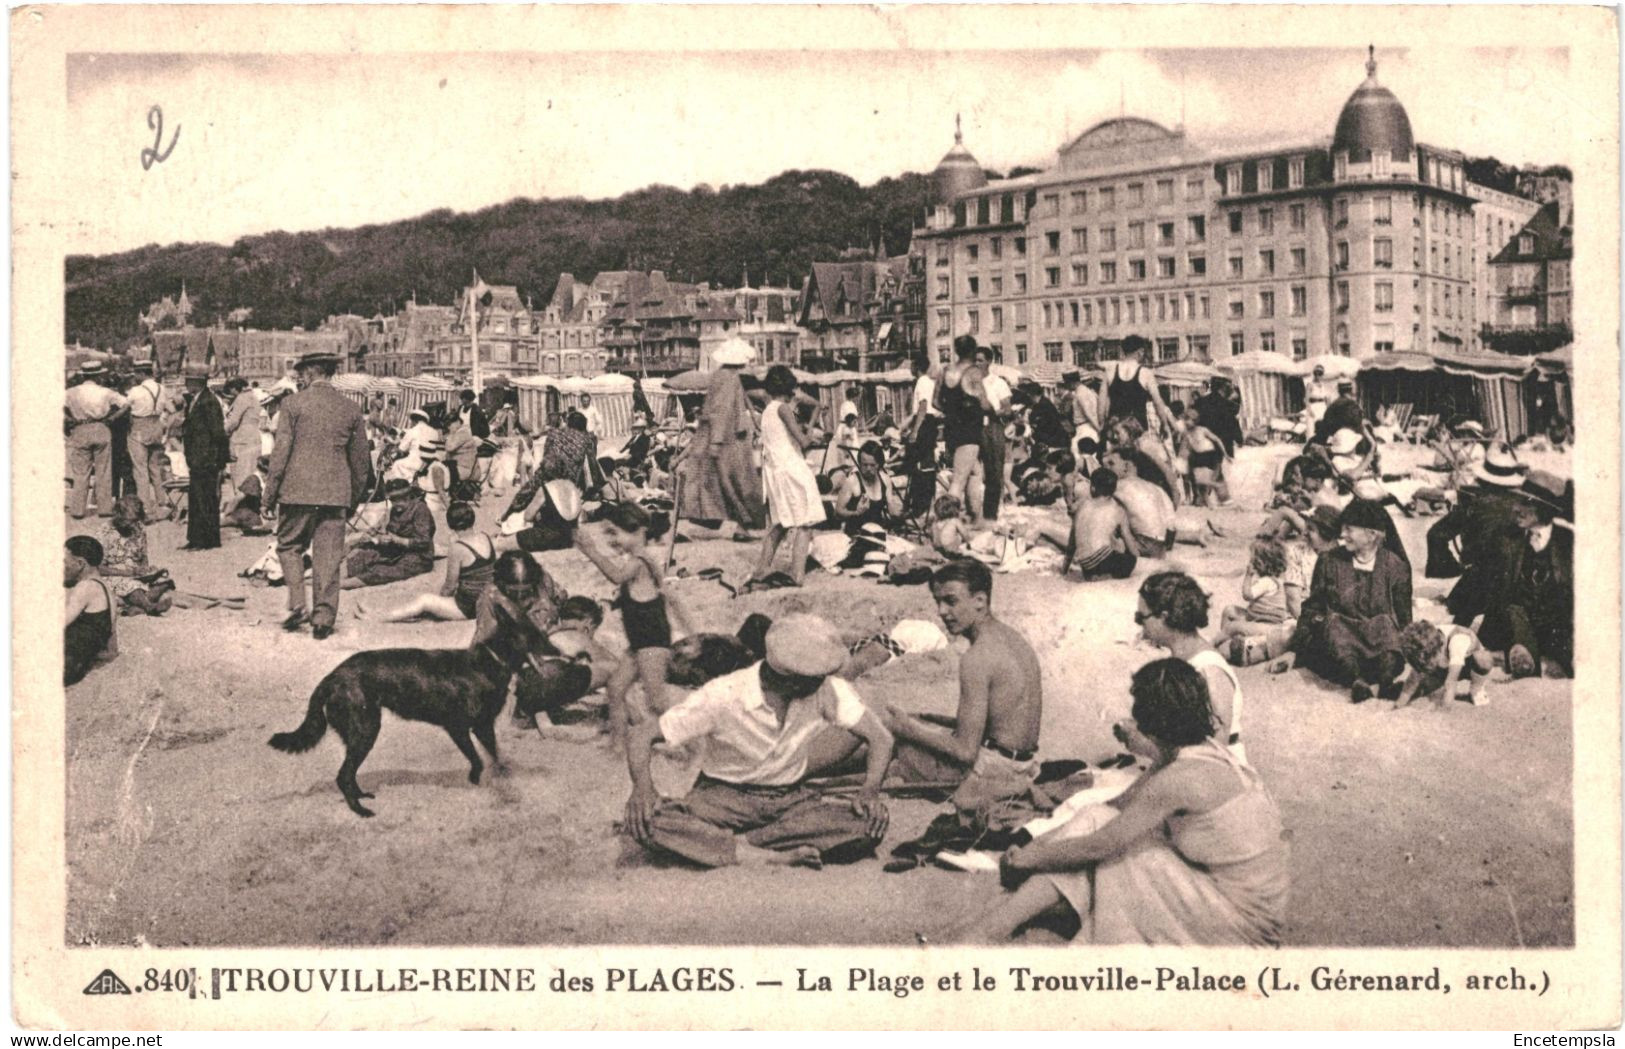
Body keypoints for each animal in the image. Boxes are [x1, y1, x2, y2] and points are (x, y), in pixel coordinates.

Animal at [269, 639, 594, 821]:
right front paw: (482, 781)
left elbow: (493, 757)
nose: (578, 656)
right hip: (366, 730)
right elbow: (480, 759)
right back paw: (360, 811)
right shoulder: (461, 727)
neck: (489, 663)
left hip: (361, 732)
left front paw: (497, 780)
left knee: (348, 774)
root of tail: (331, 677)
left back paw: (363, 796)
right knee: (343, 774)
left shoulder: (479, 727)